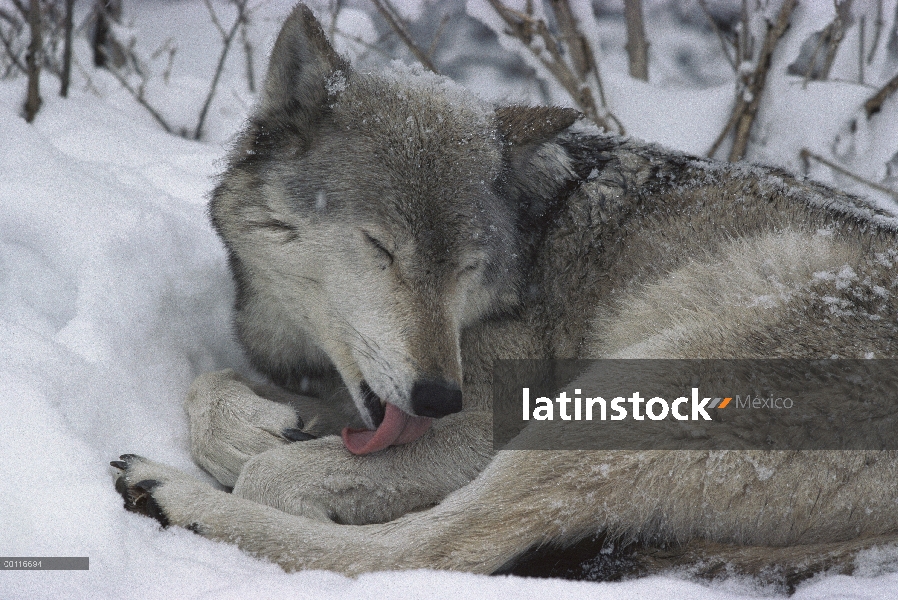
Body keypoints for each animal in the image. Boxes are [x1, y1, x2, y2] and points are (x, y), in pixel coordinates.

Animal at [110, 2, 896, 588]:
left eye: (466, 267)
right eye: (381, 249)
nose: (438, 398)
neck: (533, 241)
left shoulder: (486, 417)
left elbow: (274, 475)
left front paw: (258, 459)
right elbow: (212, 390)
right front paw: (259, 425)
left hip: (623, 394)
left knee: (436, 549)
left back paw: (172, 501)